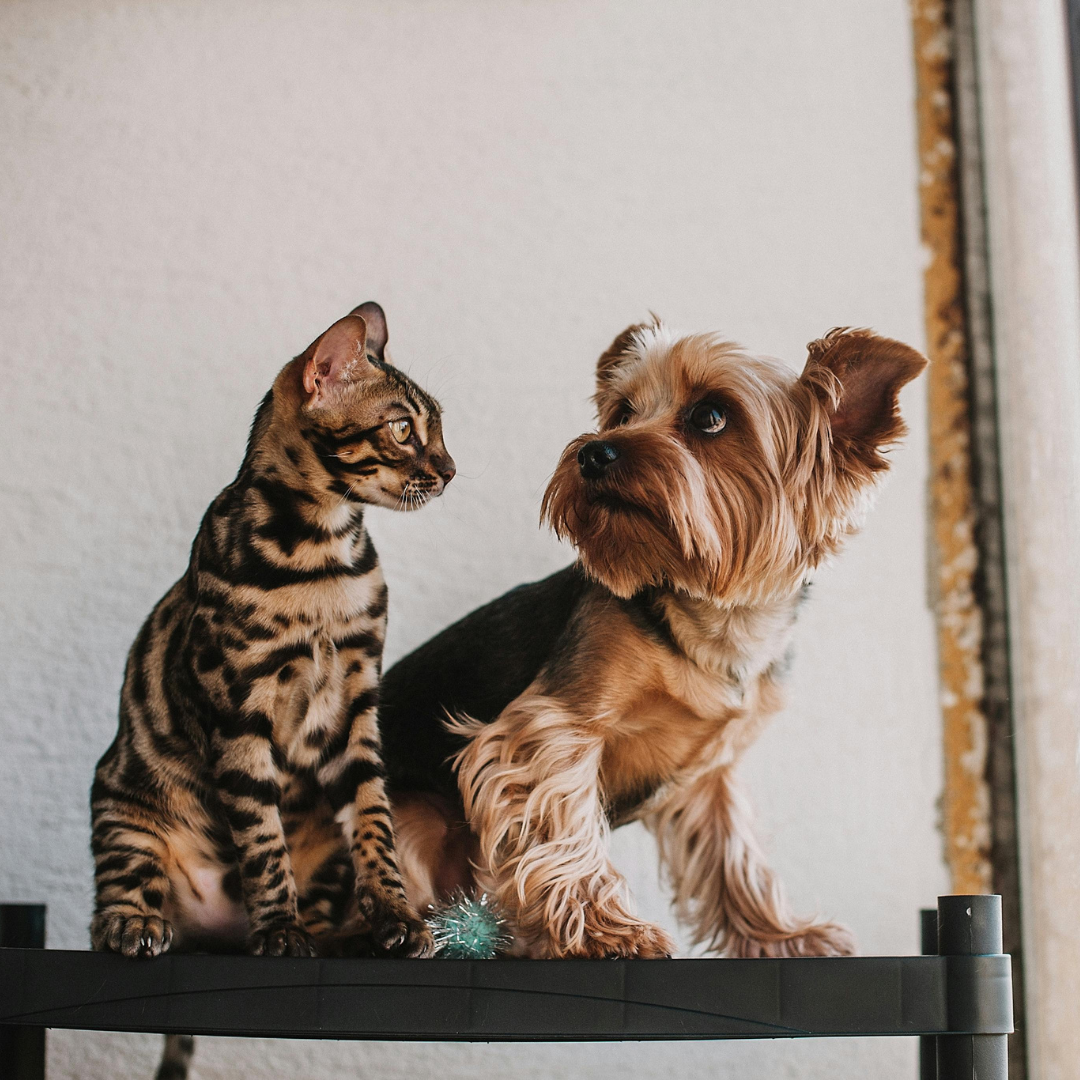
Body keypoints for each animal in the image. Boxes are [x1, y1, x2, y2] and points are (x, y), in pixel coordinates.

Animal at [87, 304, 451, 963]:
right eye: (401, 429)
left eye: (438, 429)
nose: (451, 472)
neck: (322, 555)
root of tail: (219, 930)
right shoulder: (239, 709)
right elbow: (261, 839)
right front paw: (280, 930)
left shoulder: (356, 699)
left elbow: (374, 821)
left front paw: (397, 916)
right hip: (123, 806)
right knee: (116, 896)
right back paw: (135, 923)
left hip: (326, 850)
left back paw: (343, 937)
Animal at [380, 317, 928, 954]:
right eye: (621, 412)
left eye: (711, 415)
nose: (593, 451)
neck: (713, 618)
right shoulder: (556, 723)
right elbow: (563, 821)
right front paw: (605, 928)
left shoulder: (710, 778)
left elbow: (735, 854)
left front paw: (779, 935)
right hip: (414, 818)